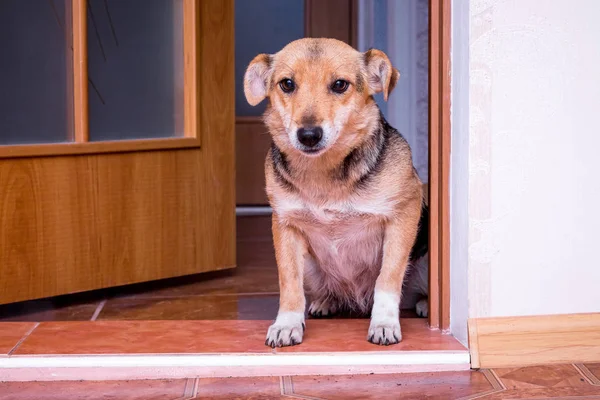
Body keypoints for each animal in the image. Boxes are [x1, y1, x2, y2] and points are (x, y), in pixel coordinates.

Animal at [241, 39, 428, 348]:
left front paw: (384, 323)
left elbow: (388, 277)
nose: (308, 135)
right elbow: (289, 283)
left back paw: (424, 303)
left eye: (340, 85)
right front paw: (287, 324)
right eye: (287, 84)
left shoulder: (405, 212)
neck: (323, 174)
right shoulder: (285, 226)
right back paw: (326, 301)